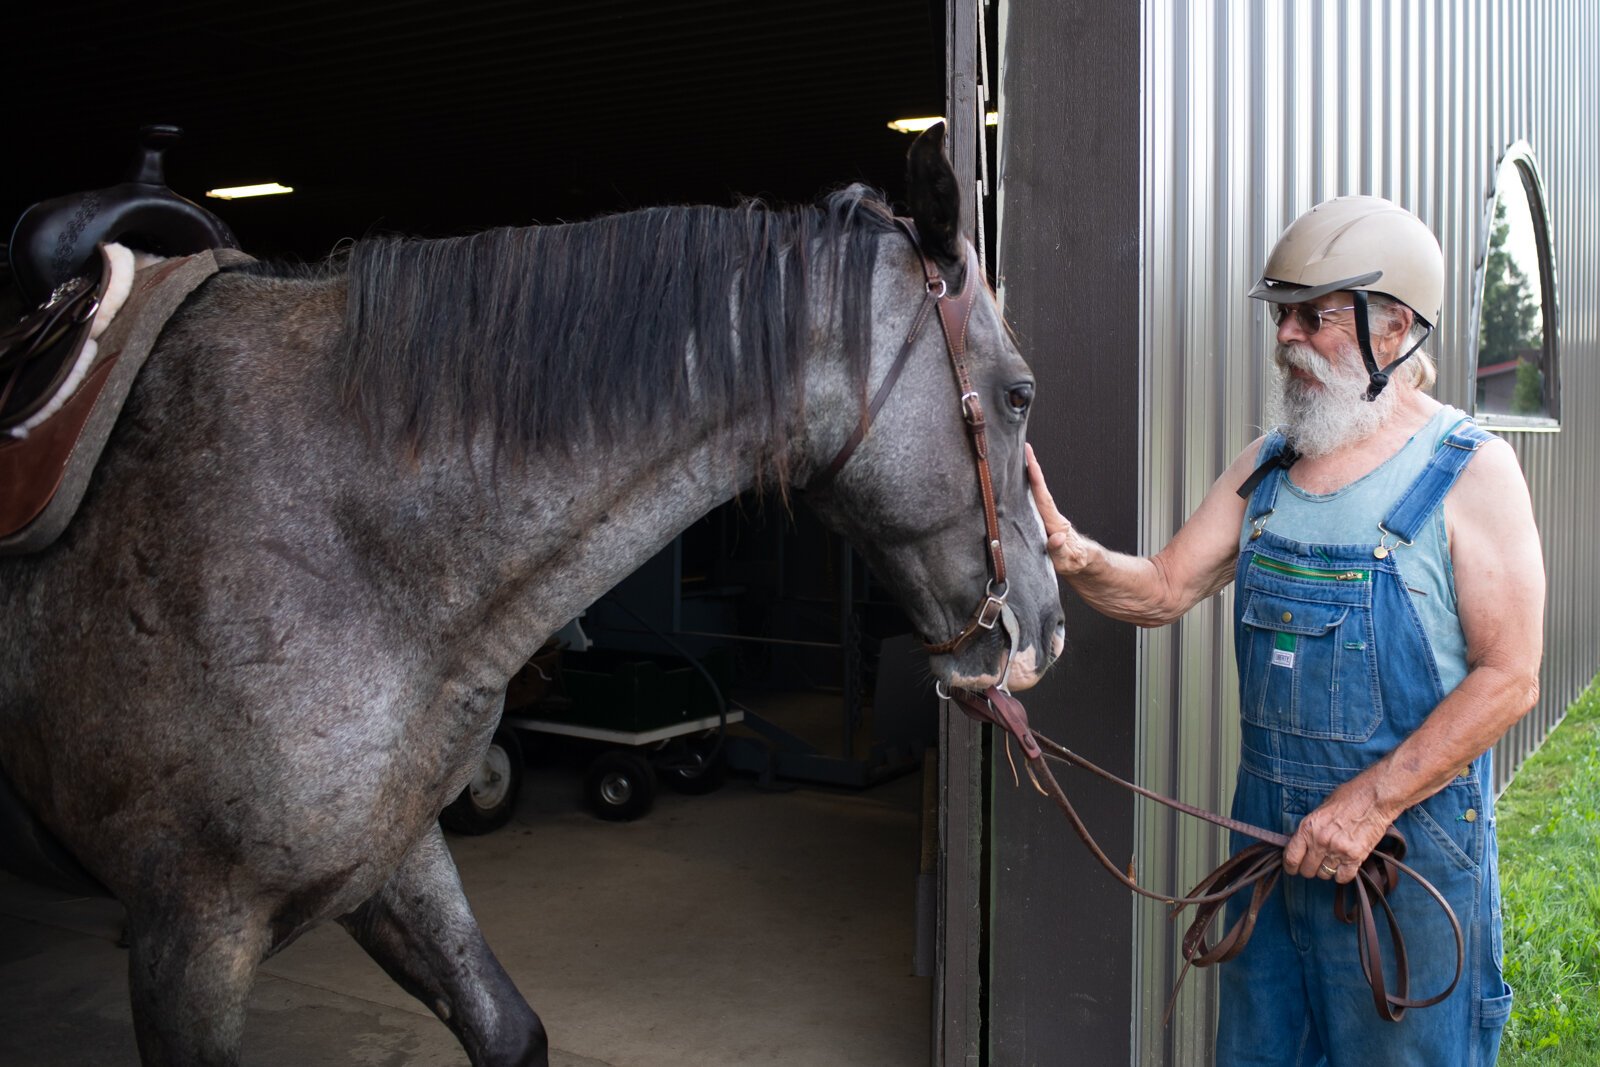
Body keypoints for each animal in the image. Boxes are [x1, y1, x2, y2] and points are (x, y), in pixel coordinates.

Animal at [0, 126, 1063, 1065]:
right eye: (1018, 394)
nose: (1047, 628)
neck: (328, 534)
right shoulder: (192, 933)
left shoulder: (393, 856)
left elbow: (510, 1031)